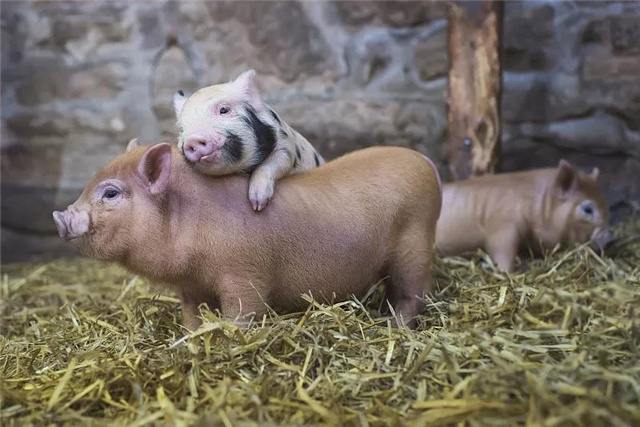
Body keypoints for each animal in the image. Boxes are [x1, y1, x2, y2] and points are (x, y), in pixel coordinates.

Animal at [52, 142, 442, 330]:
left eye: (110, 193)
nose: (60, 217)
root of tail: (425, 162)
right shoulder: (190, 285)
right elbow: (192, 315)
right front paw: (192, 336)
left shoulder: (244, 274)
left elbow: (243, 312)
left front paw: (232, 335)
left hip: (416, 242)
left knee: (412, 294)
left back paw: (394, 327)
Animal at [438, 159, 612, 272]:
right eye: (588, 209)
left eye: (604, 202)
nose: (611, 238)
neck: (538, 206)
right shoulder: (502, 226)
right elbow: (502, 251)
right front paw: (514, 271)